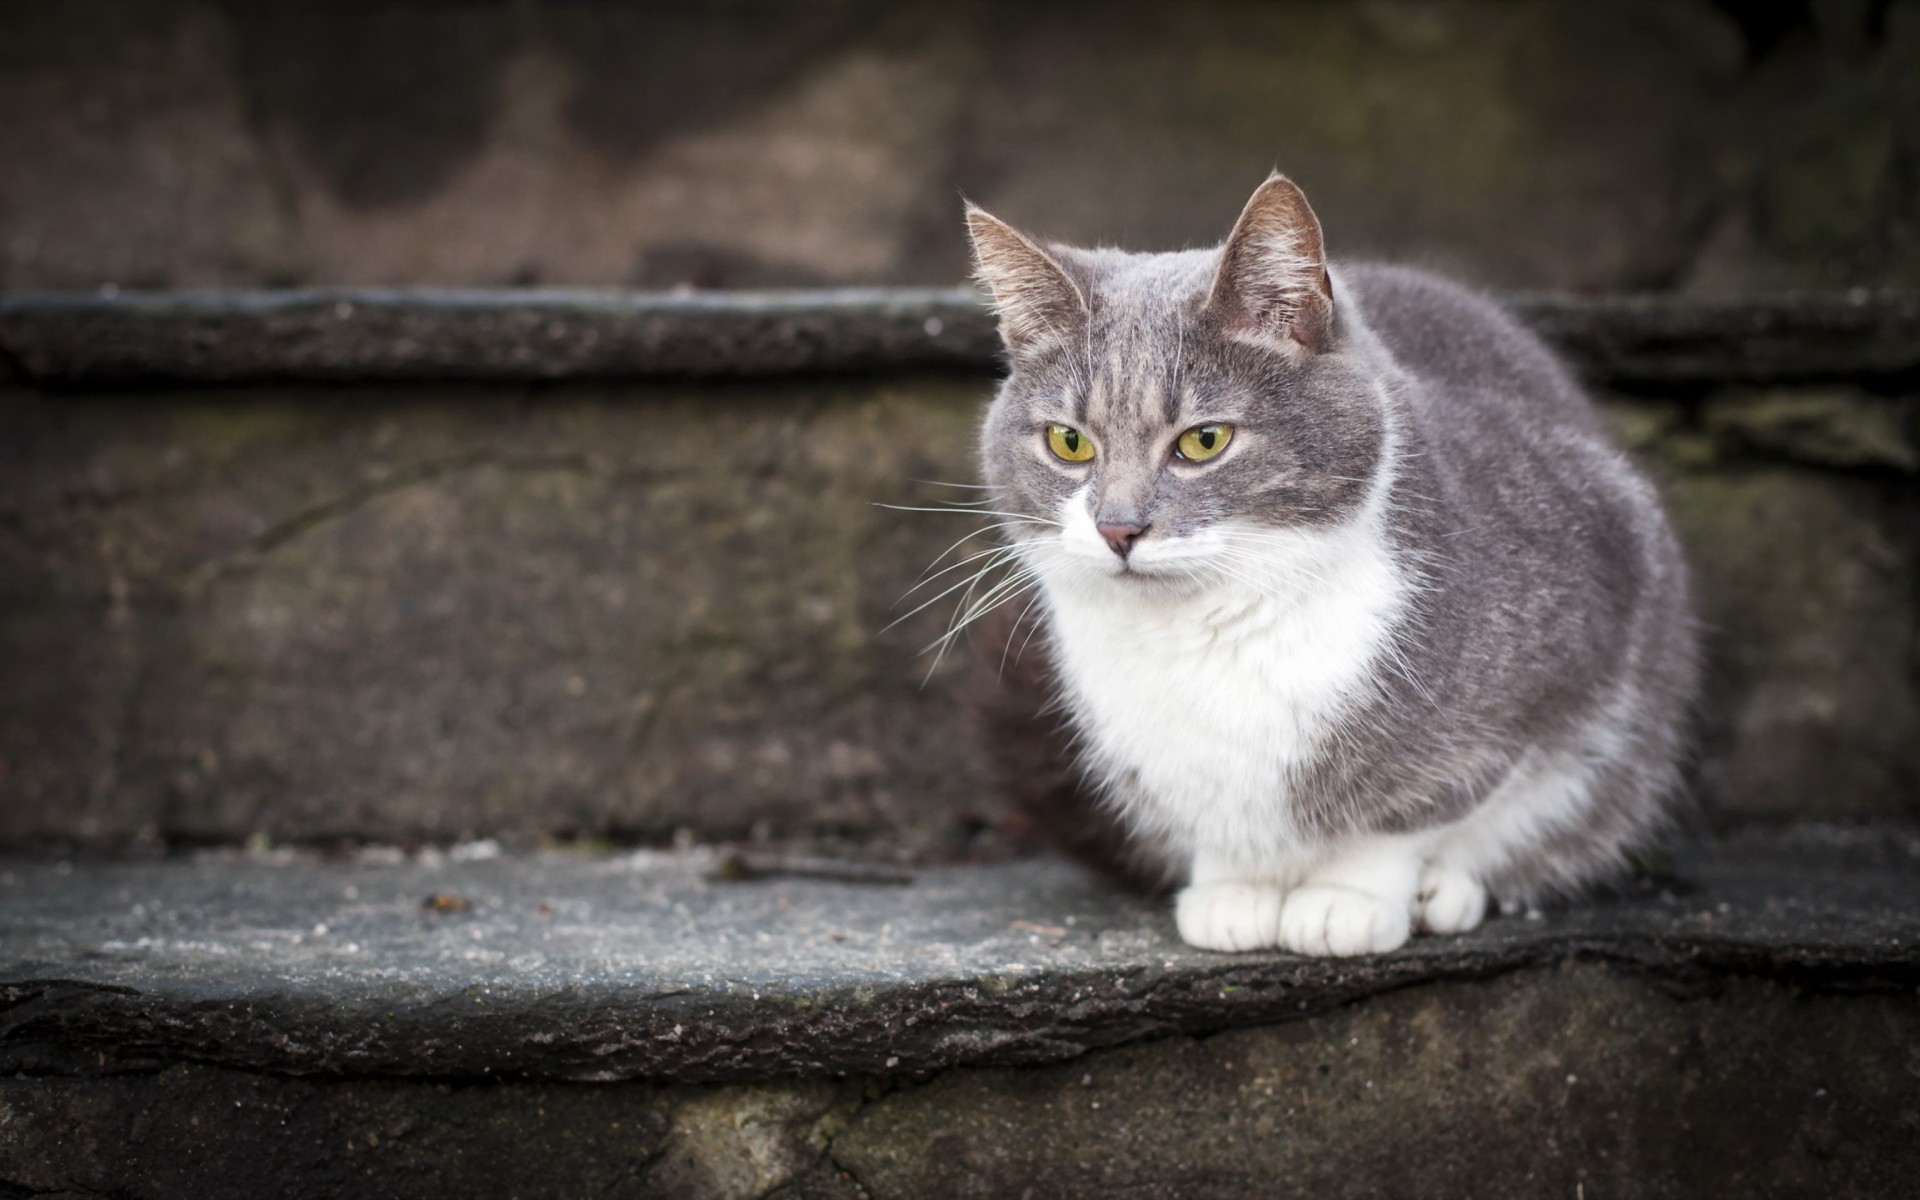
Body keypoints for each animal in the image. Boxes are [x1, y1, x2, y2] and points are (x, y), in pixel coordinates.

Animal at [960, 170, 1697, 956]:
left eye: (1204, 440)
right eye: (1069, 442)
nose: (1118, 528)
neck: (1206, 632)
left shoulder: (1551, 666)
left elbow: (1415, 817)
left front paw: (1348, 898)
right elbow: (1220, 830)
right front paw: (1235, 892)